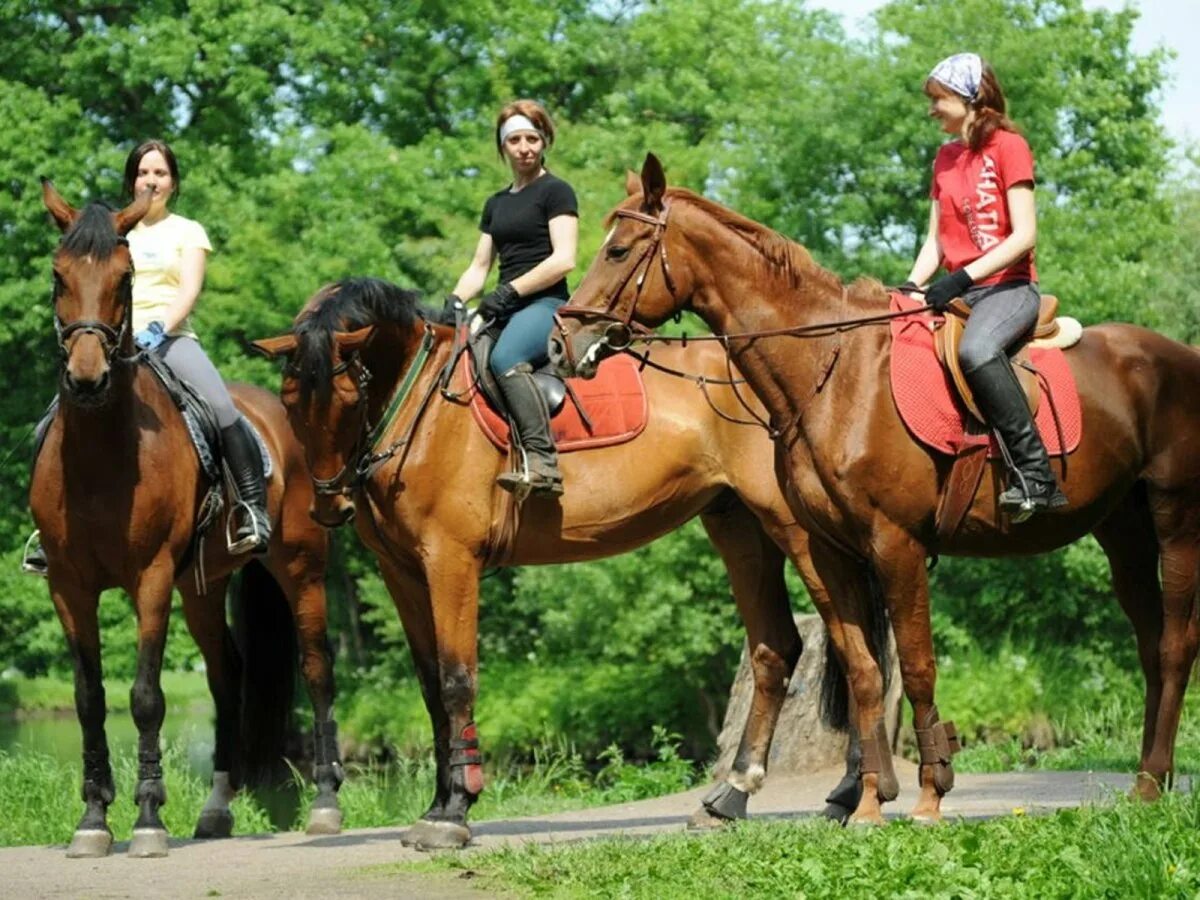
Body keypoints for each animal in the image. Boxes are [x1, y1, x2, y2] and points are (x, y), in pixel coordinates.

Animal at [34, 181, 343, 859]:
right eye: (57, 275)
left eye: (124, 278)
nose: (88, 378)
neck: (101, 451)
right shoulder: (68, 586)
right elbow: (89, 698)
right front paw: (93, 821)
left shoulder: (150, 578)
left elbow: (147, 697)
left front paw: (148, 819)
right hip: (202, 588)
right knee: (228, 675)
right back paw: (216, 808)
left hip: (302, 570)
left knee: (316, 670)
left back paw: (326, 805)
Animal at [250, 278, 883, 849]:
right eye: (290, 404)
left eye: (347, 397)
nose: (329, 506)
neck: (422, 411)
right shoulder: (403, 572)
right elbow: (431, 688)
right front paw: (436, 805)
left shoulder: (451, 561)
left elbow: (457, 681)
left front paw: (455, 812)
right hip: (738, 525)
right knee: (778, 648)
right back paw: (729, 800)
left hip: (797, 530)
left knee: (854, 647)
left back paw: (851, 794)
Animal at [549, 154, 1200, 825]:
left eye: (618, 250)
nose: (562, 344)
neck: (833, 372)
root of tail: (1181, 356)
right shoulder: (832, 551)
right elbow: (864, 671)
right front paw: (866, 802)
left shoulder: (897, 546)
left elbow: (916, 668)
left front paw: (930, 794)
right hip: (1123, 530)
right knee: (1151, 642)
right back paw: (1151, 781)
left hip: (1176, 518)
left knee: (1176, 646)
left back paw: (1150, 780)